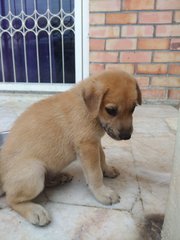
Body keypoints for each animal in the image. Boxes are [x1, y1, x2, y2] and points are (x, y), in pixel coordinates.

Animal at [0, 69, 141, 225]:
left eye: (133, 108)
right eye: (111, 110)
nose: (126, 136)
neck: (88, 109)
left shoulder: (94, 141)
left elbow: (102, 158)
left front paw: (108, 170)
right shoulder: (87, 146)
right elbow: (95, 173)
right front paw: (102, 193)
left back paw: (58, 178)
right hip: (34, 171)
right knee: (11, 199)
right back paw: (34, 211)